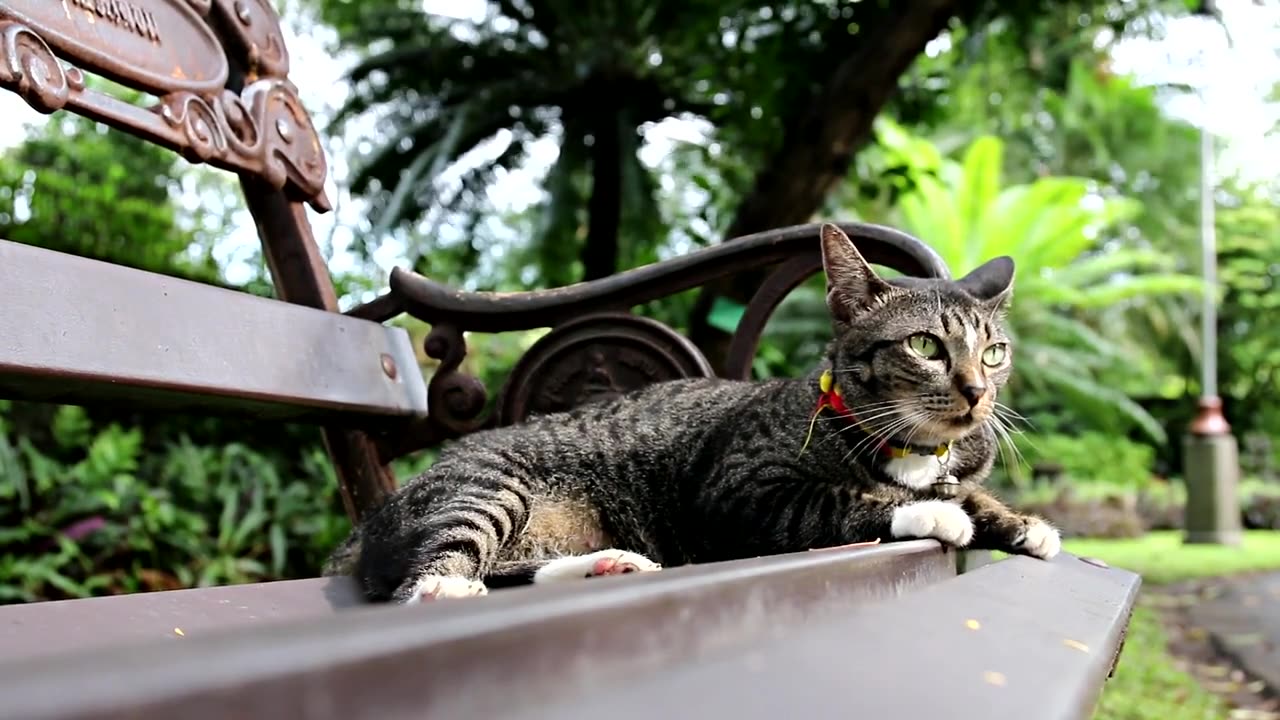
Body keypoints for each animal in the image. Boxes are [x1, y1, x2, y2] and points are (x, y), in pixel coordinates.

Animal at [330, 224, 1059, 599]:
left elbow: (973, 493)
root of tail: (367, 528)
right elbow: (839, 500)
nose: (979, 391)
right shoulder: (737, 493)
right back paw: (447, 589)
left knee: (510, 568)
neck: (912, 447)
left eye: (994, 352)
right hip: (488, 487)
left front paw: (1020, 523)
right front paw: (930, 511)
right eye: (926, 345)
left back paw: (606, 564)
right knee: (425, 576)